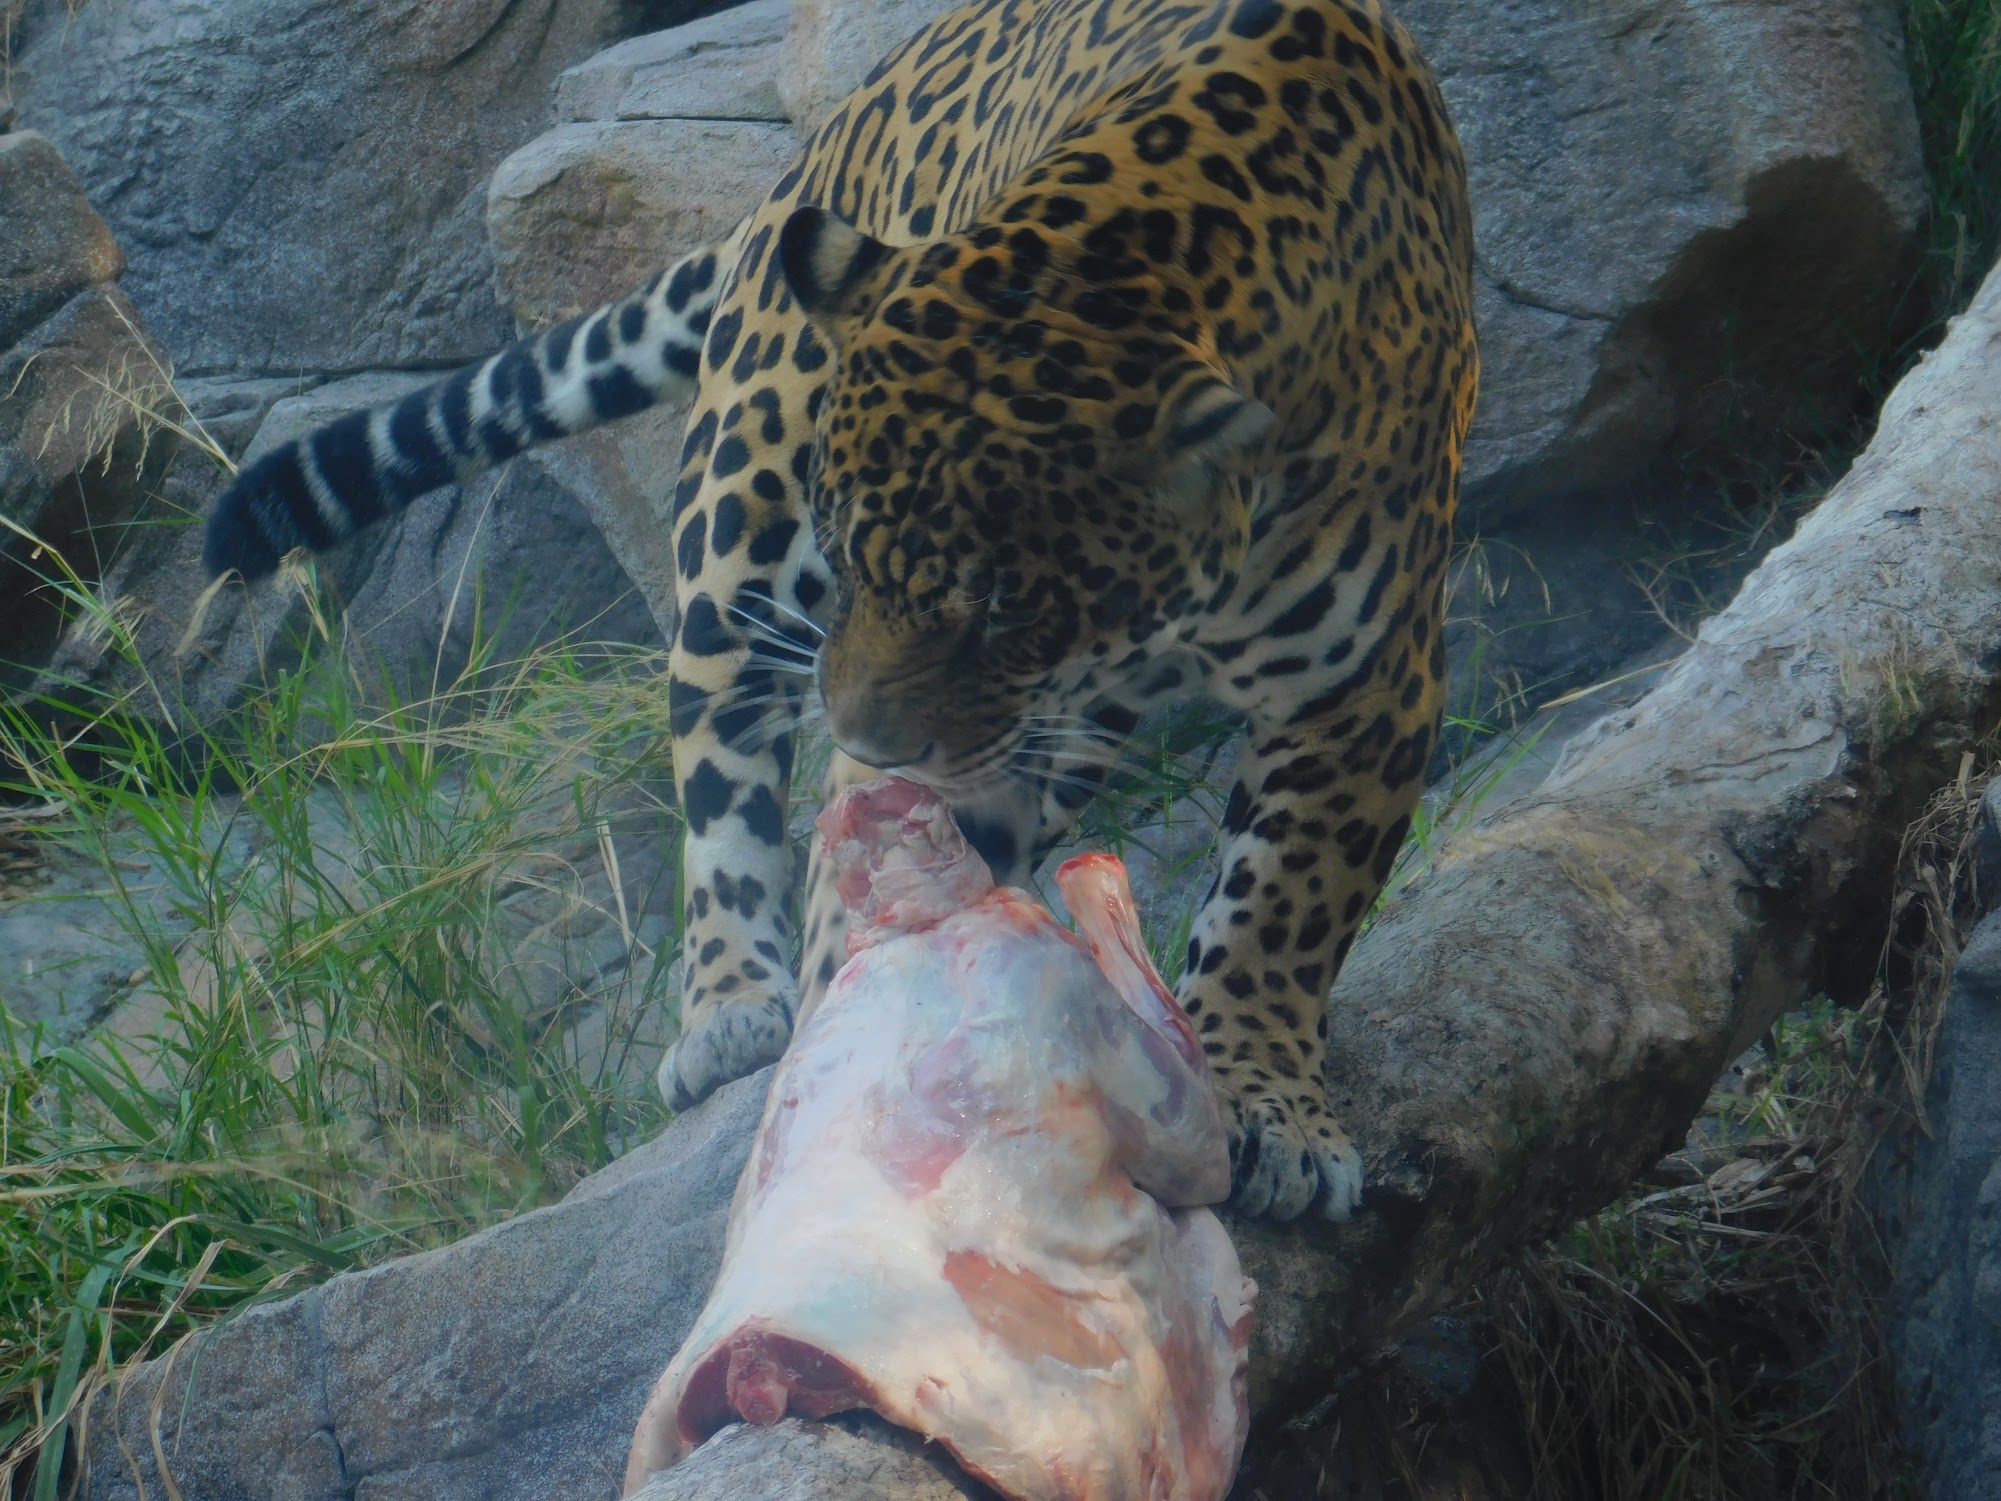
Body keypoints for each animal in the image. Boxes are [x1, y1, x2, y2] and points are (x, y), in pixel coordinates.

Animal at [204, 0, 1478, 1222]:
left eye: (1002, 605)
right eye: (853, 558)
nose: (870, 736)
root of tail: (821, 140)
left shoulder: (1369, 680)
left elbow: (1285, 909)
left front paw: (1268, 1107)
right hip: (739, 515)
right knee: (719, 759)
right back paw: (731, 1008)